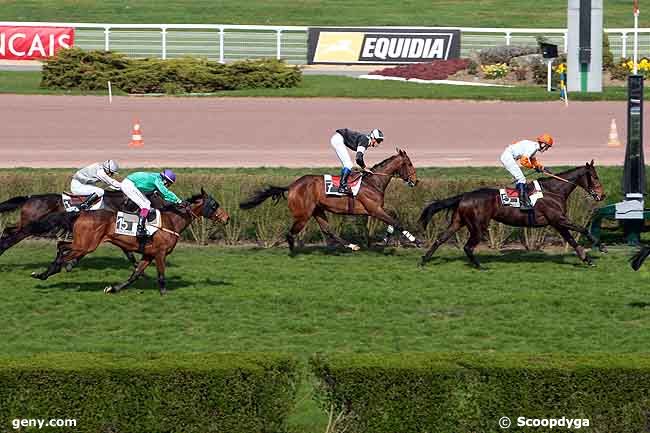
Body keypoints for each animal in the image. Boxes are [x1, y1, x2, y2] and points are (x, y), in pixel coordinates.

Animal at [30, 188, 229, 294]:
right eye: (214, 205)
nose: (227, 218)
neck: (172, 220)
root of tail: (81, 212)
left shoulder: (148, 254)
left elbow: (135, 274)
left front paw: (113, 288)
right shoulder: (160, 253)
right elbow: (161, 274)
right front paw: (164, 293)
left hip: (82, 244)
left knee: (61, 246)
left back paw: (48, 271)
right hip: (86, 246)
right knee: (64, 254)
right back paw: (44, 273)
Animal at [240, 148, 418, 251]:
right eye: (409, 164)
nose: (415, 181)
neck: (373, 182)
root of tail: (291, 186)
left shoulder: (376, 209)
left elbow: (394, 218)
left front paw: (387, 237)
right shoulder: (373, 210)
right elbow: (396, 221)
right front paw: (416, 241)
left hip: (317, 210)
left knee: (327, 229)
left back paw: (352, 245)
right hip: (303, 214)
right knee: (291, 233)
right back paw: (293, 251)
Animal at [418, 161, 604, 266]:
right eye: (595, 177)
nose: (602, 195)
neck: (553, 191)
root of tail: (464, 195)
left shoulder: (557, 222)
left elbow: (572, 240)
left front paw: (587, 259)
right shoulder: (559, 219)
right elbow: (582, 229)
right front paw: (600, 246)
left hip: (458, 221)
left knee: (440, 239)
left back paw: (424, 260)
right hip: (478, 226)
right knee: (467, 247)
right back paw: (480, 266)